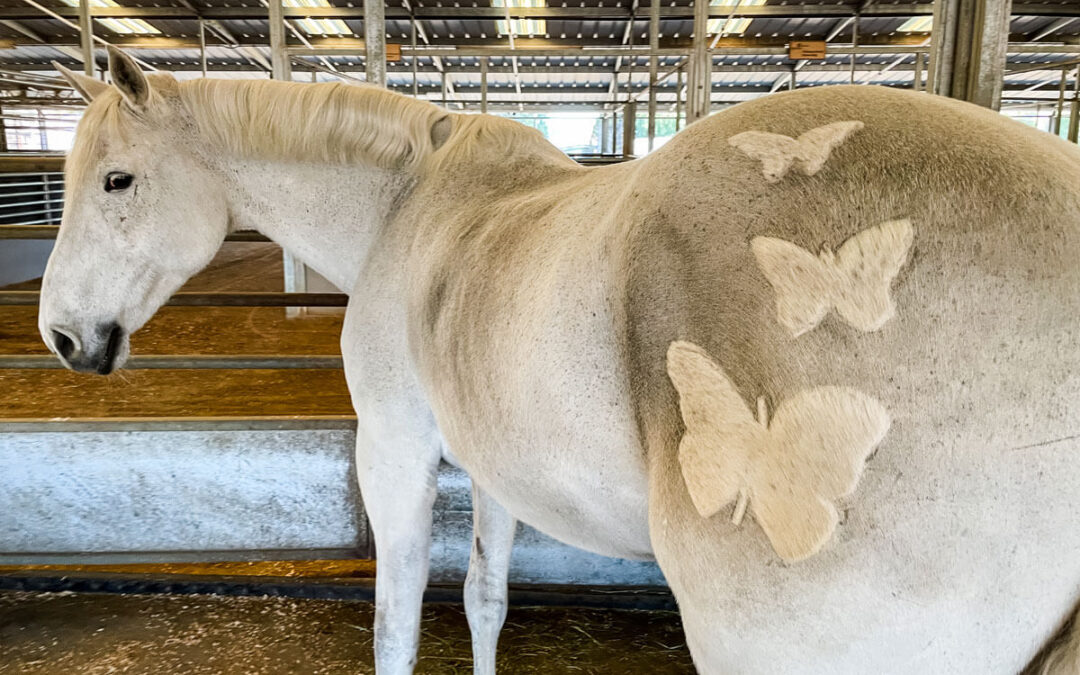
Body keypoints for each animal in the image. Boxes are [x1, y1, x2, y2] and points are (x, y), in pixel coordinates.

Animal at [41, 46, 1080, 673]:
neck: (408, 207)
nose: (60, 335)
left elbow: (397, 626)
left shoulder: (395, 456)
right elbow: (485, 600)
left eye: (116, 180)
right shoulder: (498, 470)